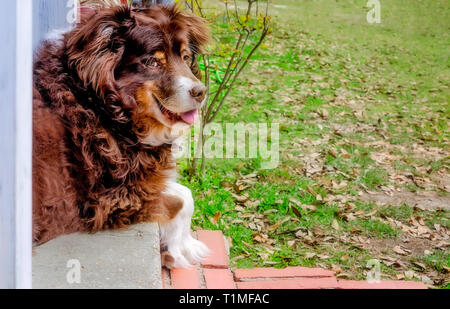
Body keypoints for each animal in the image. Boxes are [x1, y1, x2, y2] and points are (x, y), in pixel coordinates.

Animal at [32, 4, 211, 268]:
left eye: (186, 57)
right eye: (152, 62)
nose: (201, 92)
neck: (101, 106)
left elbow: (184, 194)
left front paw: (179, 246)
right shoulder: (110, 199)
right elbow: (183, 200)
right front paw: (182, 249)